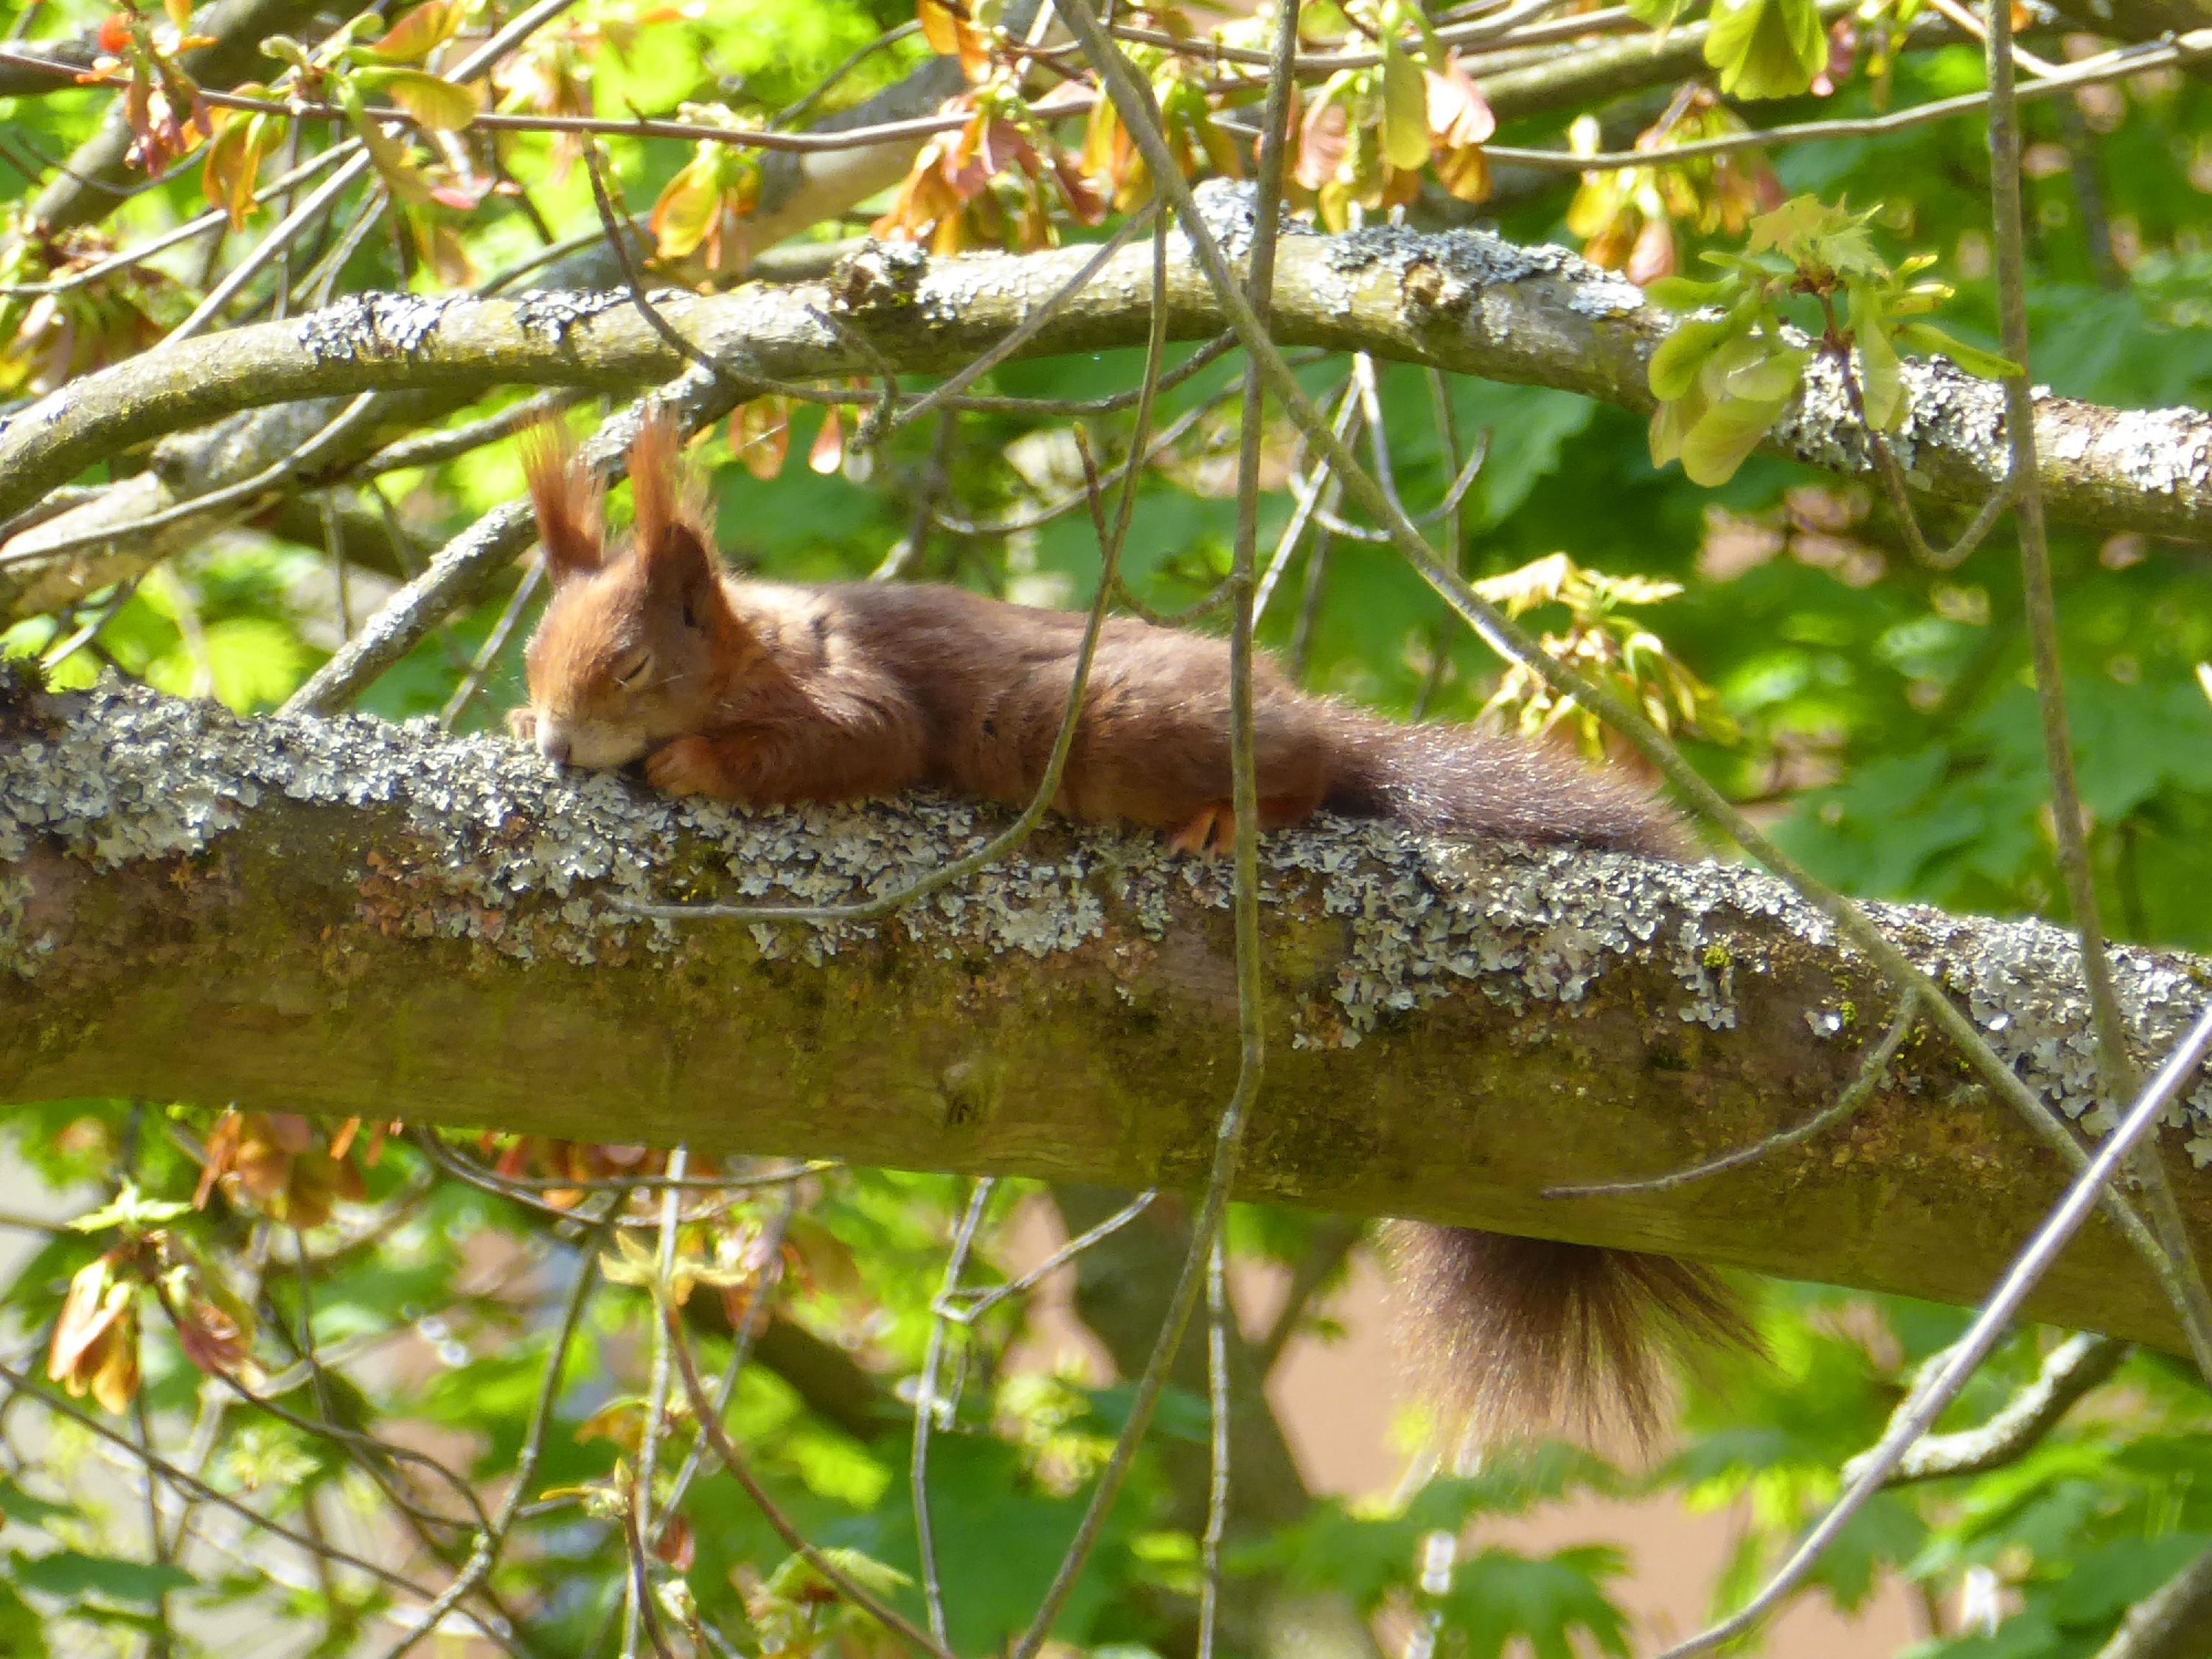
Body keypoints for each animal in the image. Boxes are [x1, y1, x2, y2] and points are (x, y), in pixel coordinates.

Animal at [510, 410, 1753, 1441]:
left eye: (630, 663)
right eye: (530, 655)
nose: (559, 746)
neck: (747, 645)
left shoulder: (852, 691)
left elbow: (850, 740)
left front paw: (690, 760)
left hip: (1082, 720)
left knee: (1307, 765)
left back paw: (1246, 806)